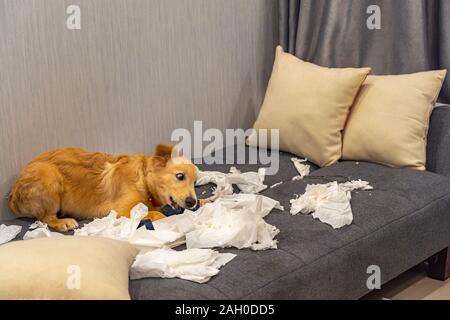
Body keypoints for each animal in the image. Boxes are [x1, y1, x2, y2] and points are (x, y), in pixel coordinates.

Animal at [6, 144, 200, 230]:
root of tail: (12, 198)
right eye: (180, 176)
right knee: (44, 218)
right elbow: (156, 214)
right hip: (48, 176)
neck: (143, 181)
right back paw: (63, 222)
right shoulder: (123, 210)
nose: (192, 202)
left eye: (195, 182)